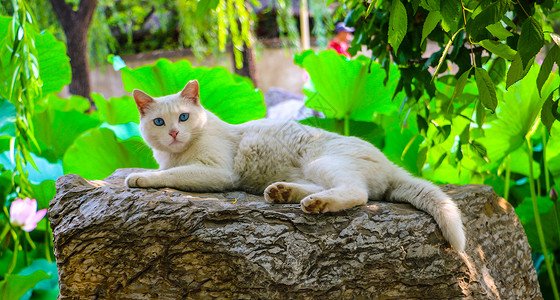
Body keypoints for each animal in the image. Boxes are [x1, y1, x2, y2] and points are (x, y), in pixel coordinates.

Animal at [124, 80, 466, 251]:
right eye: (159, 122)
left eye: (184, 117)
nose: (173, 133)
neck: (179, 151)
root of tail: (390, 164)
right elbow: (169, 169)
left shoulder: (218, 171)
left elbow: (172, 173)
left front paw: (140, 177)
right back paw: (283, 193)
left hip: (321, 162)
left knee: (357, 193)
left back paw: (316, 203)